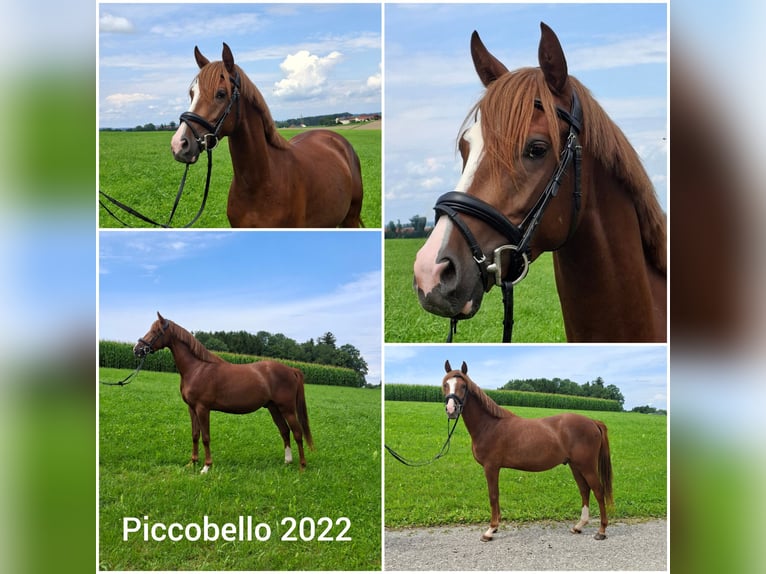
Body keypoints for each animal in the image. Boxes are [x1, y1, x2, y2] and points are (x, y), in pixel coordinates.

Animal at [133, 312, 314, 473]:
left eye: (156, 331)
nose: (137, 350)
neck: (197, 368)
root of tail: (291, 370)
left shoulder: (202, 408)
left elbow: (206, 437)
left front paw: (206, 467)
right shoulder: (192, 408)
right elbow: (195, 435)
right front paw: (192, 463)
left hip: (287, 409)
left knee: (297, 433)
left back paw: (302, 467)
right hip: (273, 408)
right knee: (284, 431)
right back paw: (287, 461)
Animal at [441, 360, 613, 541]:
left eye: (463, 386)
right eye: (445, 384)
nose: (451, 409)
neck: (489, 425)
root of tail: (593, 422)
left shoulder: (491, 467)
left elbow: (493, 496)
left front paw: (490, 530)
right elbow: (496, 495)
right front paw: (495, 528)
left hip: (587, 466)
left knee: (598, 491)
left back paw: (601, 531)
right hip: (575, 466)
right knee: (584, 490)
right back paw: (578, 526)